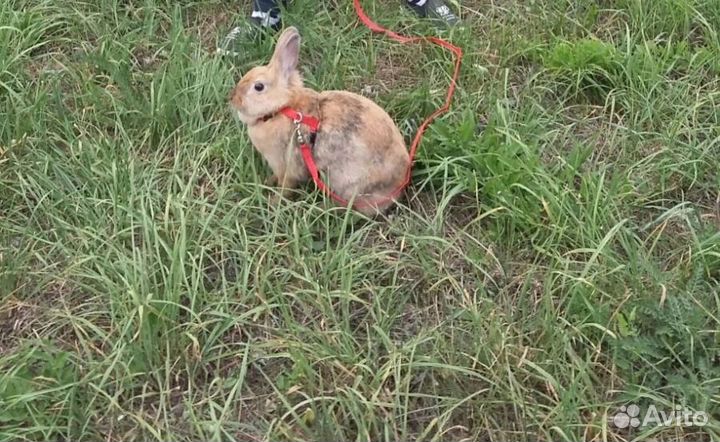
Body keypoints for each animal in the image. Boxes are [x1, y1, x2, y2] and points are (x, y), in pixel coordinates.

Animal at [228, 26, 410, 216]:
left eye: (258, 87)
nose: (232, 98)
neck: (281, 108)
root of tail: (398, 185)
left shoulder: (286, 166)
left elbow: (286, 186)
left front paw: (274, 202)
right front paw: (268, 182)